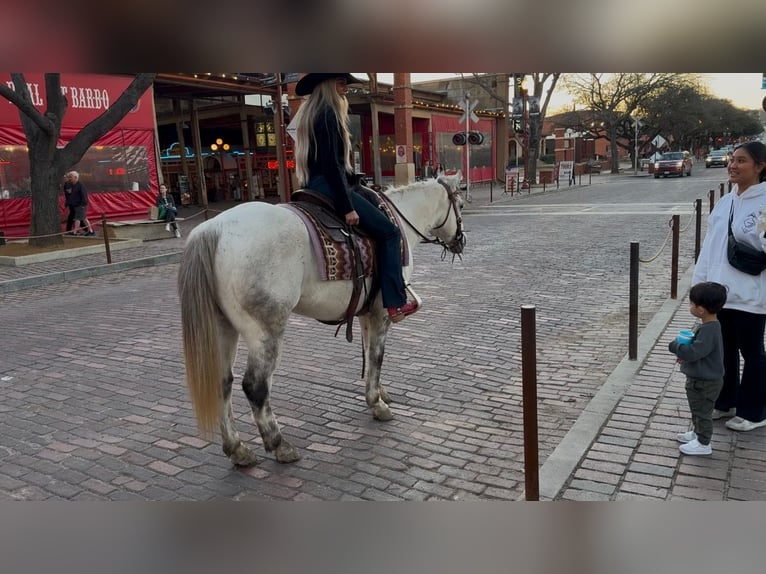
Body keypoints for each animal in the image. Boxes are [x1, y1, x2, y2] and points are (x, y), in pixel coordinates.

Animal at [179, 176, 464, 468]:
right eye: (461, 204)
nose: (460, 241)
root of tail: (214, 228)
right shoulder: (382, 313)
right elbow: (377, 356)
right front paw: (376, 403)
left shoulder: (366, 313)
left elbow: (369, 353)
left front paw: (379, 392)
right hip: (265, 331)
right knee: (255, 387)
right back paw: (279, 444)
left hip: (223, 328)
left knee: (223, 382)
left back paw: (237, 448)